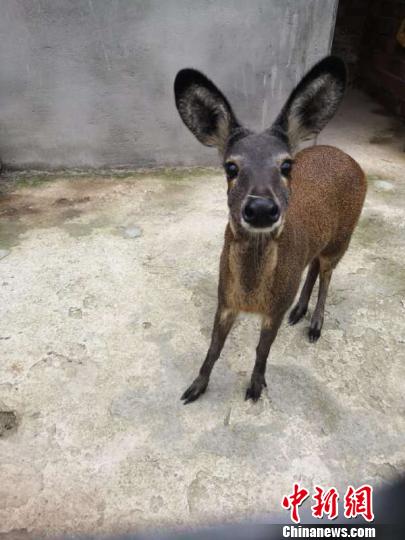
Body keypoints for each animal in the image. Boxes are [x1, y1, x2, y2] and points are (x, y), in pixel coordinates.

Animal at [174, 57, 366, 402]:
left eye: (287, 165)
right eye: (231, 167)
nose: (262, 208)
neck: (252, 297)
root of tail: (345, 156)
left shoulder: (275, 306)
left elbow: (262, 350)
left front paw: (255, 387)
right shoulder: (224, 298)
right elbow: (213, 348)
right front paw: (195, 387)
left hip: (343, 238)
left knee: (327, 274)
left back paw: (315, 325)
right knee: (313, 266)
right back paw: (299, 311)